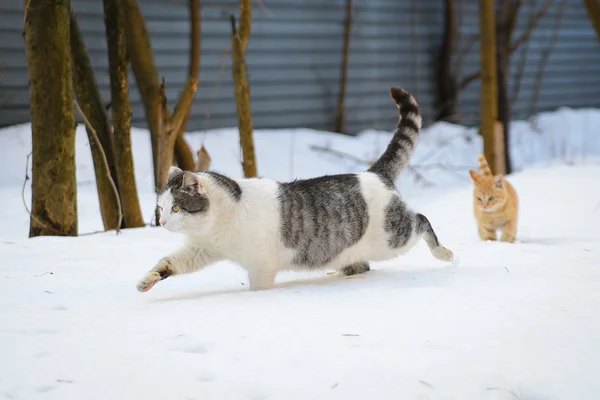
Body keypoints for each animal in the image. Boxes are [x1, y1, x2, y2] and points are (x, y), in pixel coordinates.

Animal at [137, 87, 454, 292]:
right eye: (161, 208)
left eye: (176, 207)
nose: (162, 221)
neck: (219, 223)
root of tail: (373, 173)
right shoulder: (200, 250)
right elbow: (171, 262)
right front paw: (148, 279)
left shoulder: (261, 265)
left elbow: (257, 288)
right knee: (362, 266)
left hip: (393, 237)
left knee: (422, 221)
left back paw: (445, 254)